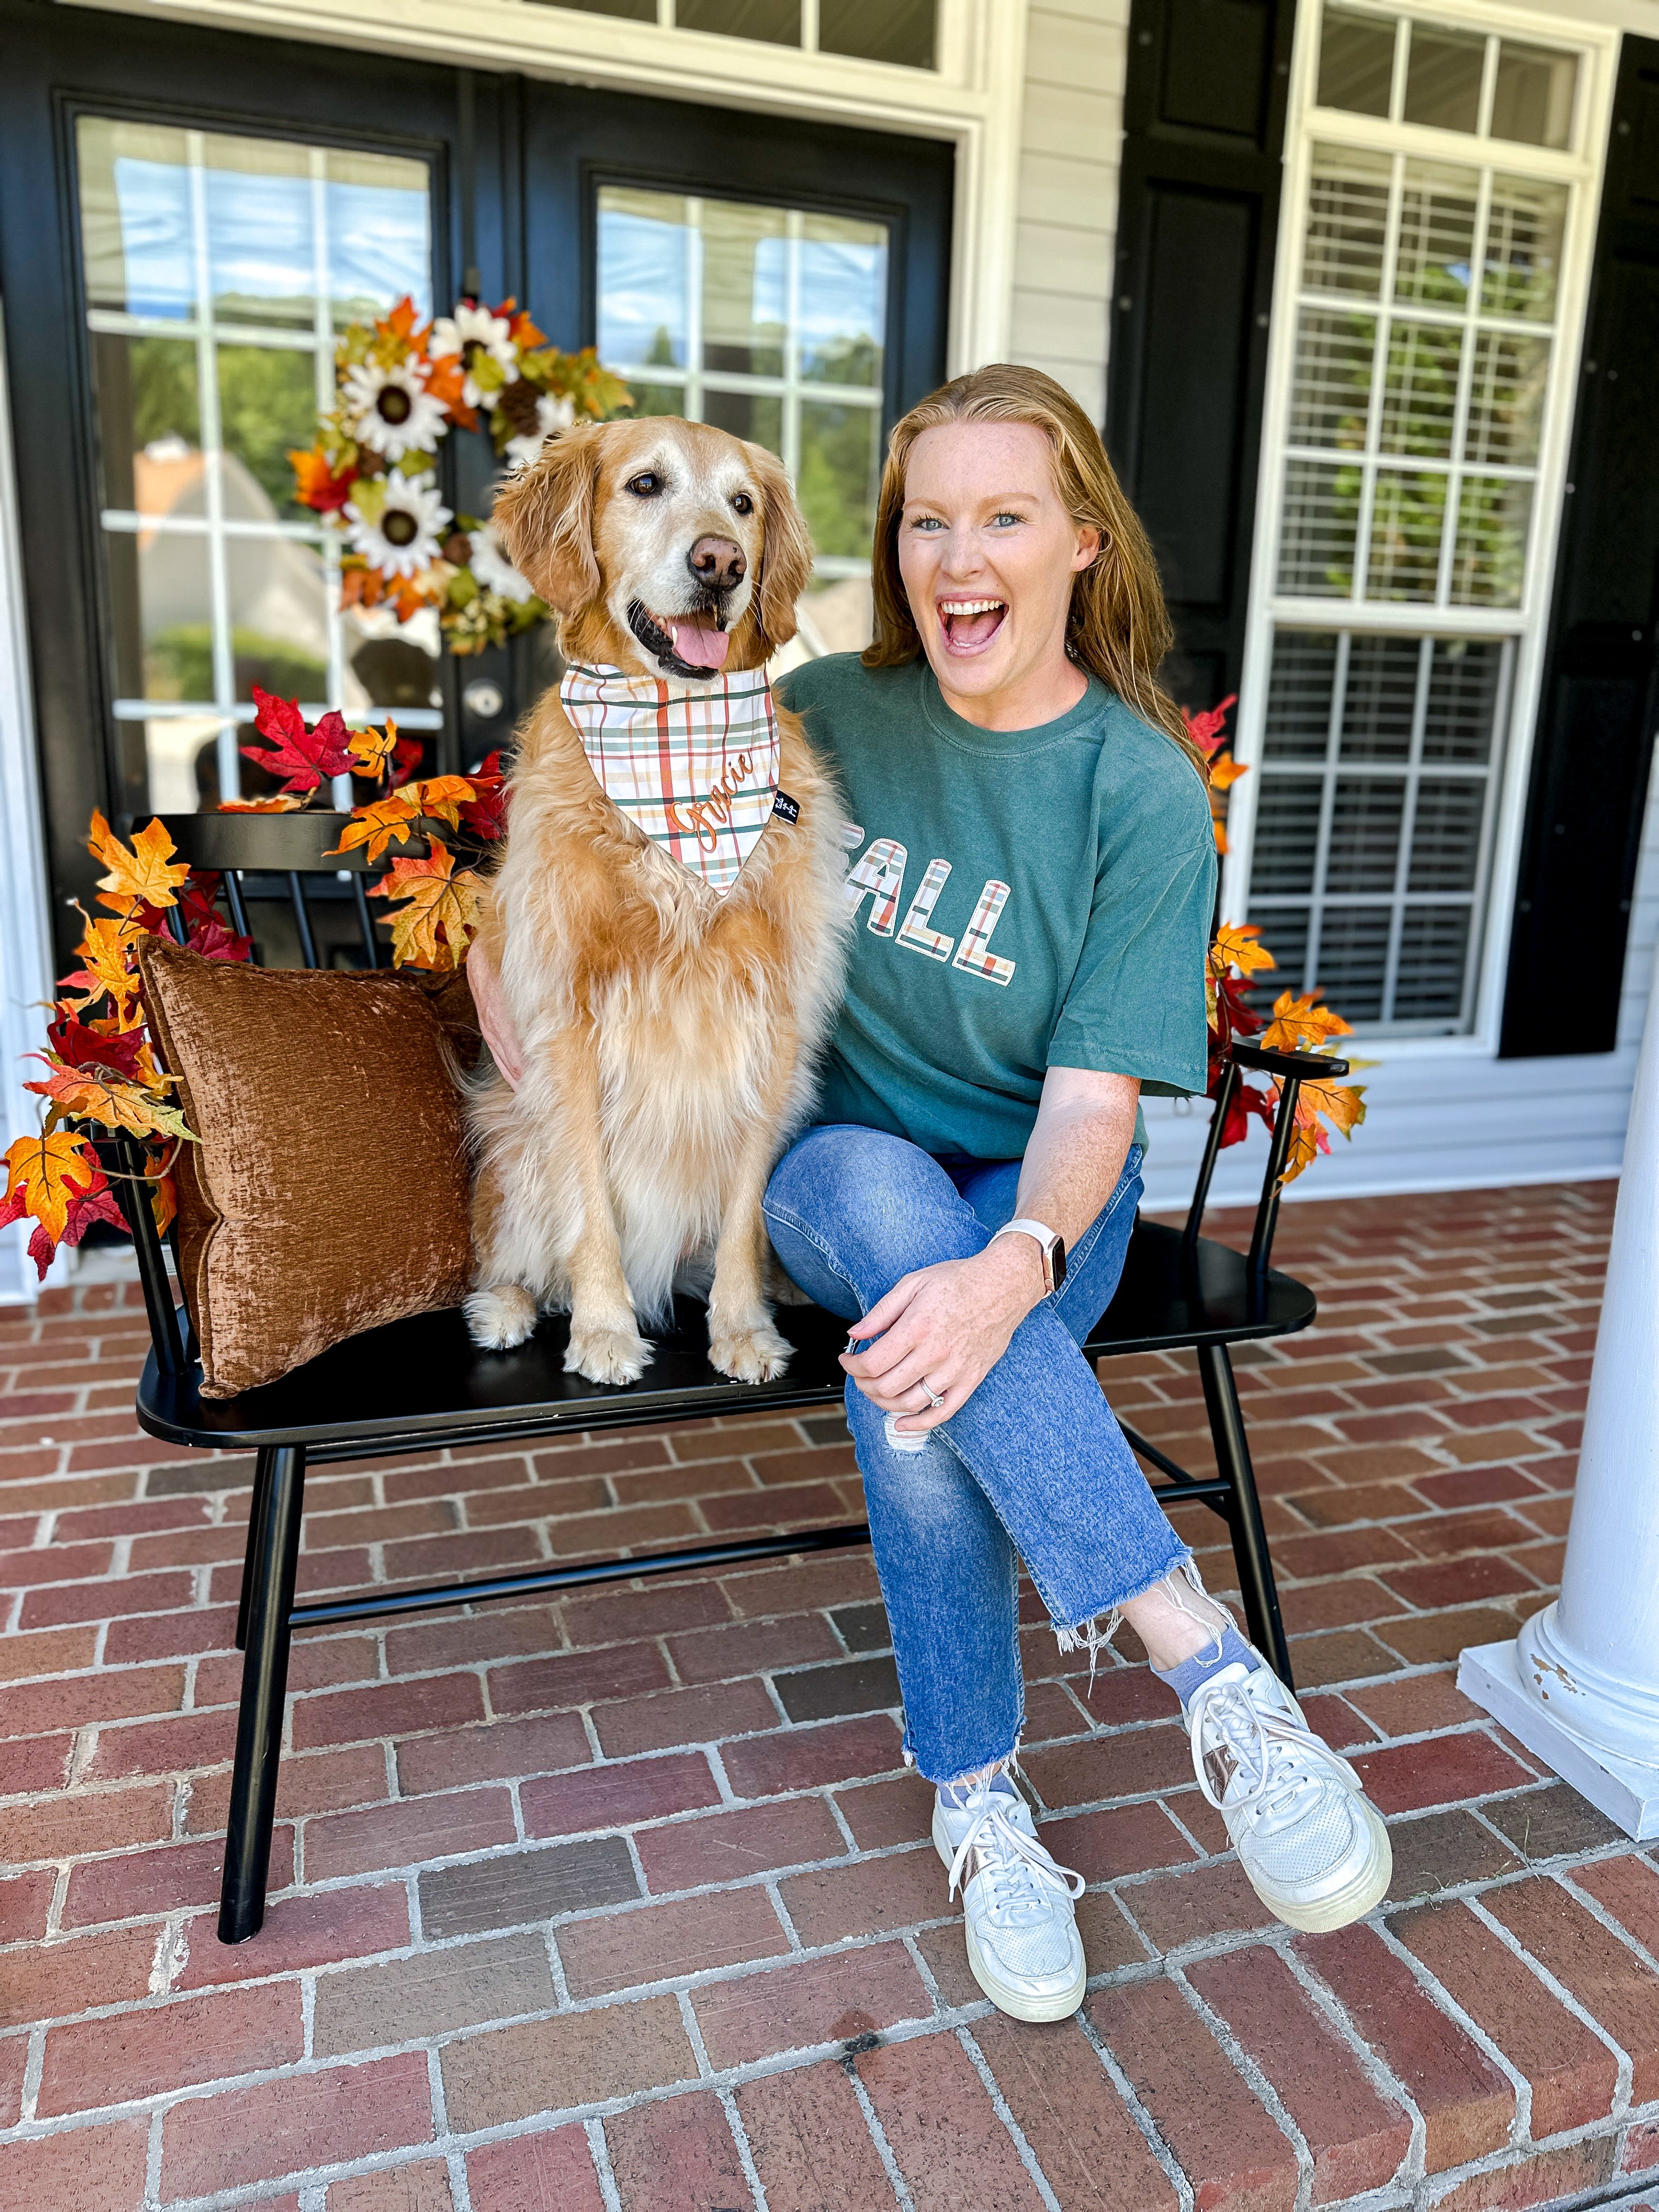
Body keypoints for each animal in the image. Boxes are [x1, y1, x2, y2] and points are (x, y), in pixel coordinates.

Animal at [463, 417, 849, 1387]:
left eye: (743, 504)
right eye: (645, 484)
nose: (721, 563)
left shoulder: (775, 1025)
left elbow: (746, 1215)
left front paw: (742, 1327)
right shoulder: (563, 1024)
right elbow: (590, 1207)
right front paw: (603, 1330)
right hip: (510, 1143)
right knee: (515, 1250)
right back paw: (509, 1307)